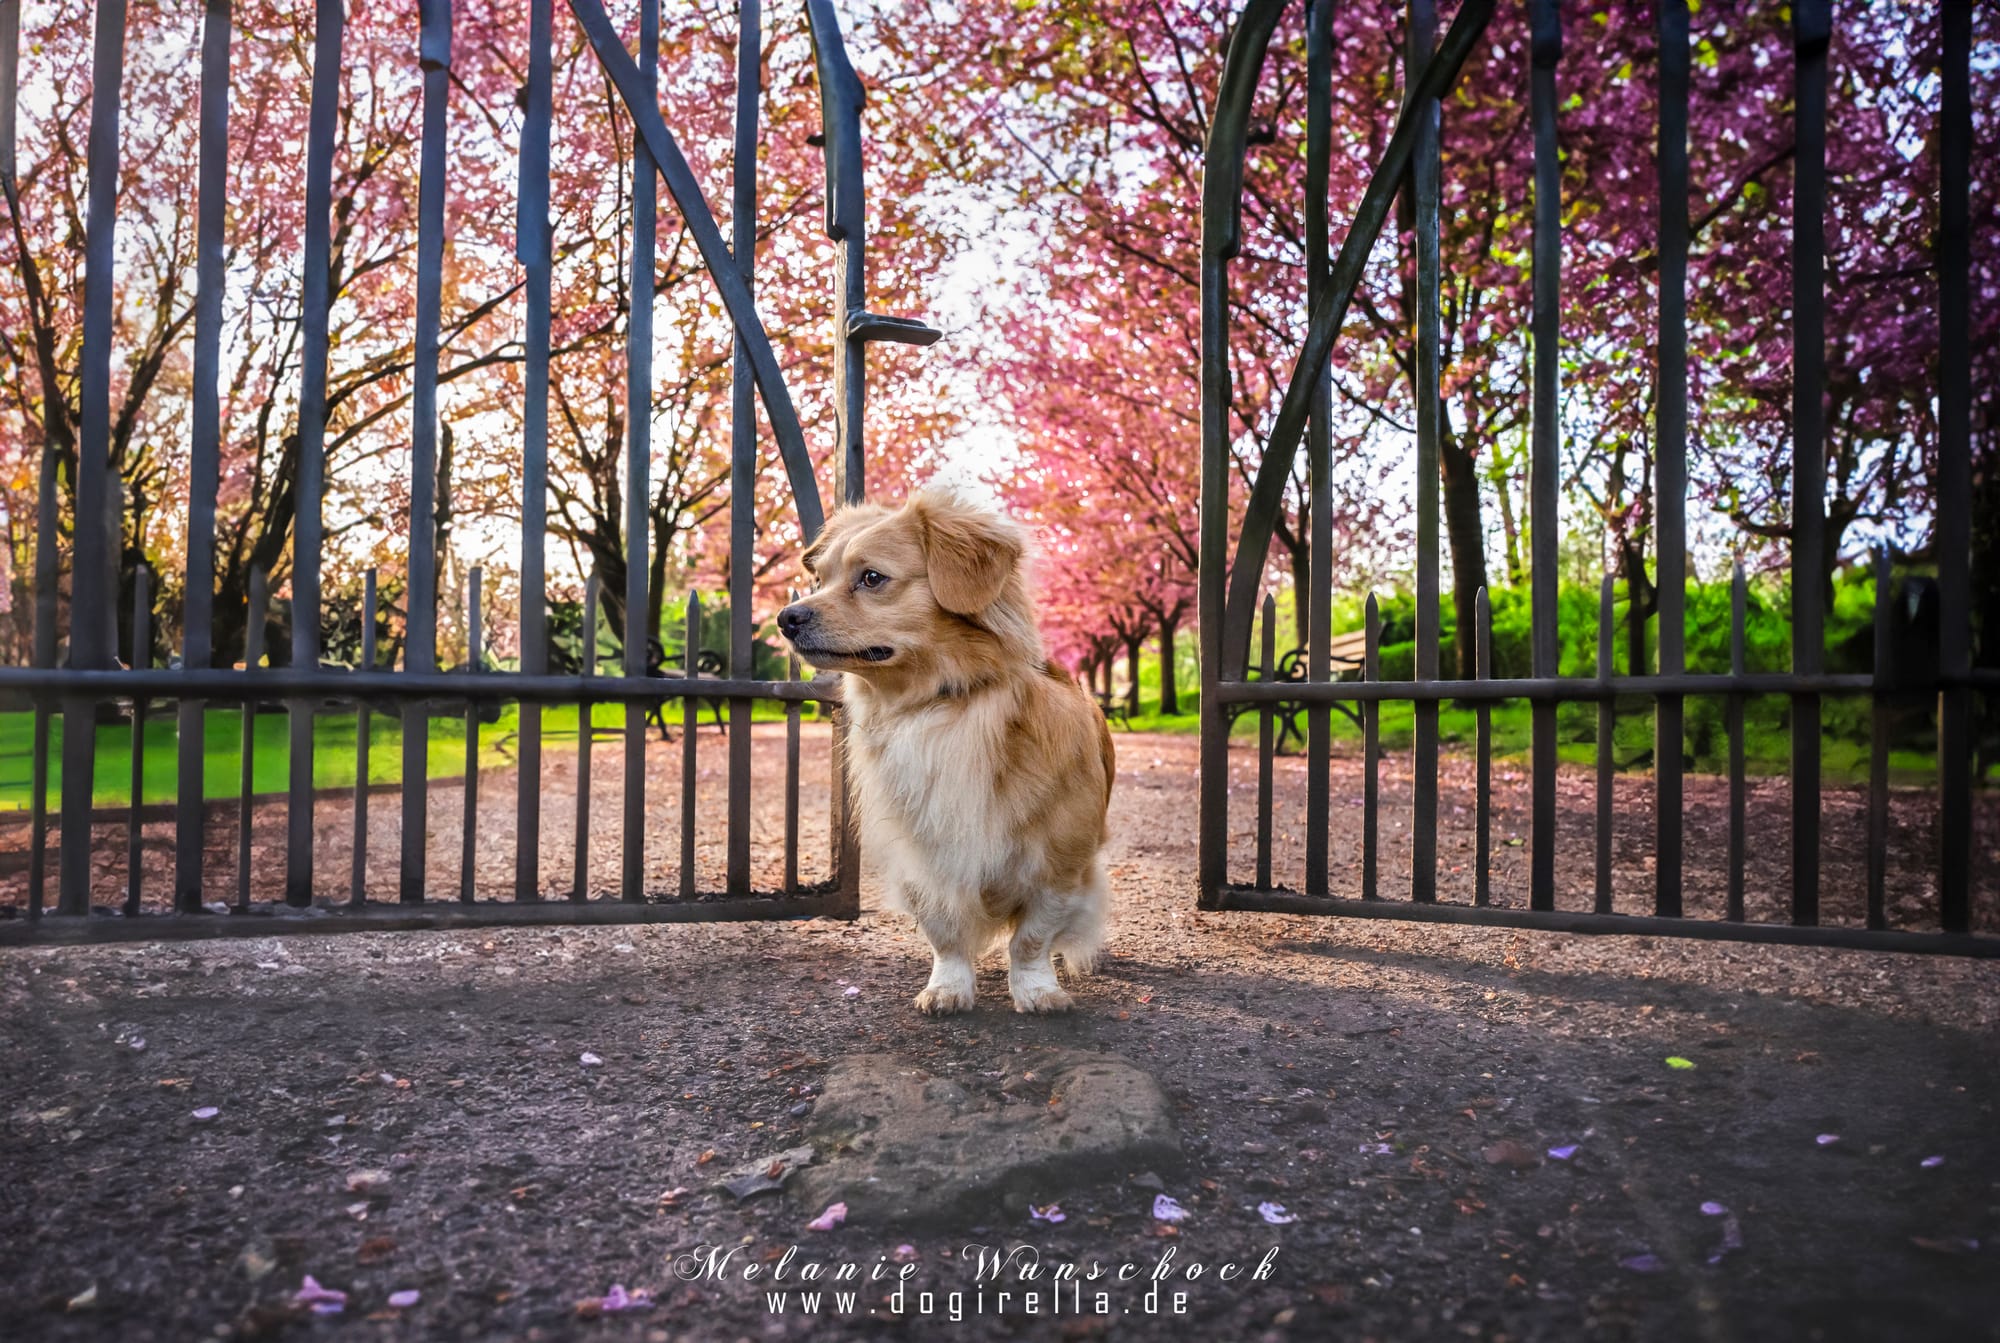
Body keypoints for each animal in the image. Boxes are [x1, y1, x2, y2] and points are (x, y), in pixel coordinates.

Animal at [776, 487, 1120, 1011]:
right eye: (820, 579)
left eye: (871, 577)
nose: (786, 617)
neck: (940, 709)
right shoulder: (924, 860)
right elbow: (945, 932)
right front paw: (949, 987)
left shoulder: (1060, 861)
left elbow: (1032, 938)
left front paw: (1036, 989)